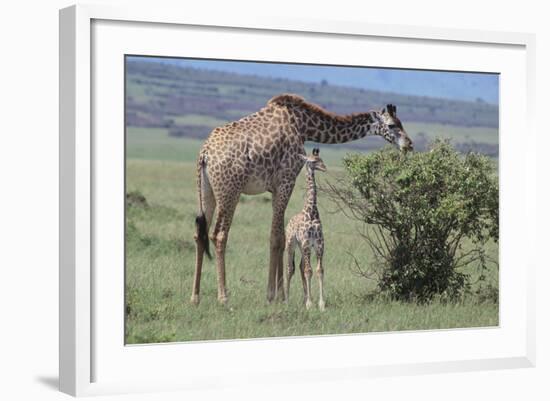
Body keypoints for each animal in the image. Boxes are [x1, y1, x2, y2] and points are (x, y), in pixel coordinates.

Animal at [284, 148, 328, 310]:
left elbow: (319, 270)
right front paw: (310, 304)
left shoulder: (319, 244)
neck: (311, 212)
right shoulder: (306, 242)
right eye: (313, 161)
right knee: (290, 268)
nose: (324, 168)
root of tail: (289, 222)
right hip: (291, 244)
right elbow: (309, 271)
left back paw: (305, 298)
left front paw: (320, 303)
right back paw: (287, 300)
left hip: (303, 248)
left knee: (301, 267)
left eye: (321, 159)